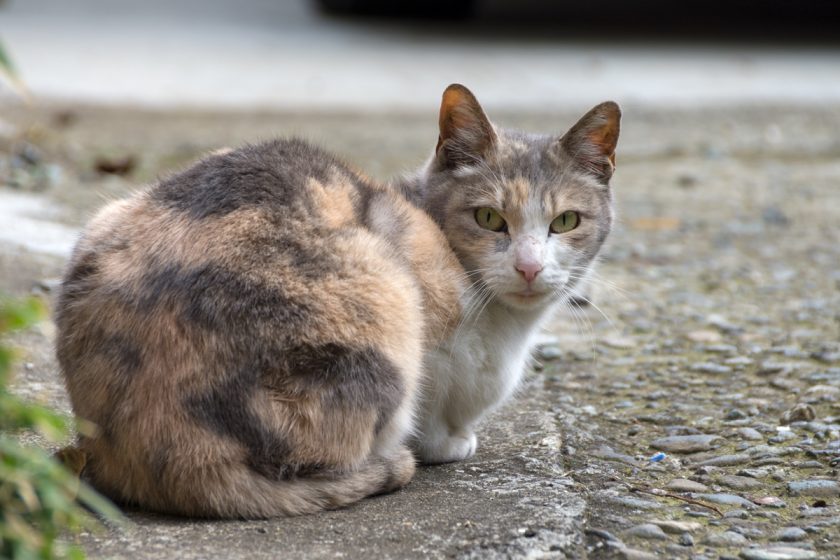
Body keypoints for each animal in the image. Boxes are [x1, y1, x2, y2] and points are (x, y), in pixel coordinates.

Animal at [52, 85, 616, 520]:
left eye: (566, 221)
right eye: (489, 218)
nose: (529, 267)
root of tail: (174, 454)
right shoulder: (429, 318)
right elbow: (433, 411)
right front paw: (448, 443)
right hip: (387, 296)